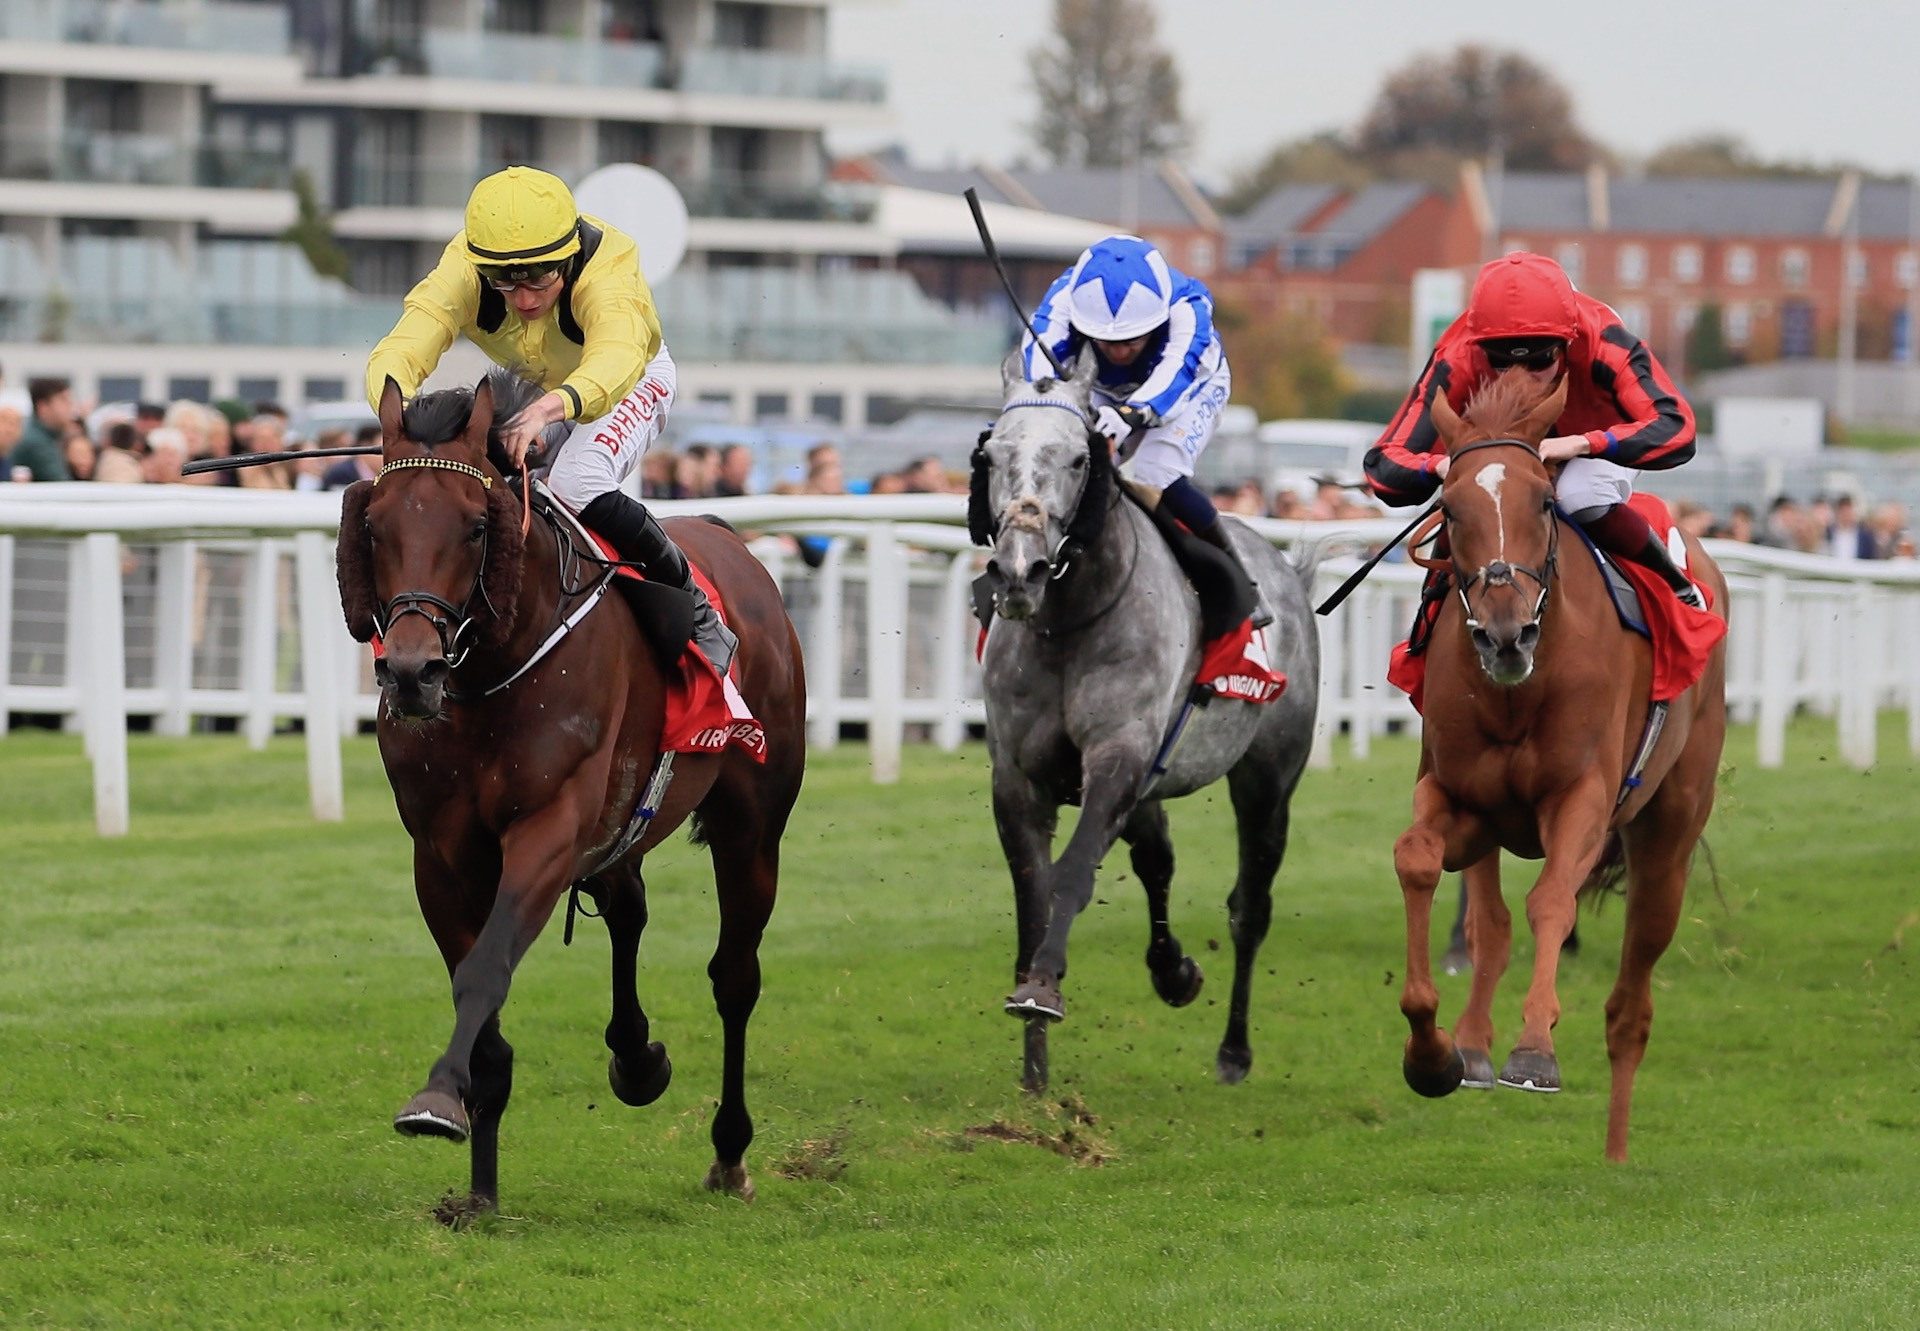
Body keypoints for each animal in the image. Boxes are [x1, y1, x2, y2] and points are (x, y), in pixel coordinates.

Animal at [337, 370, 802, 1213]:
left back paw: (729, 1150)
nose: (413, 672)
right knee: (628, 907)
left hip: (753, 824)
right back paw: (637, 1056)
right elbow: (479, 989)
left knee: (735, 976)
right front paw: (478, 1187)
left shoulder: (548, 827)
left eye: (475, 527)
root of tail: (731, 540)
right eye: (377, 526)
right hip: (625, 816)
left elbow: (487, 968)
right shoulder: (440, 852)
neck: (493, 670)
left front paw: (435, 1100)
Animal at [975, 349, 1320, 1090]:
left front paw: (1042, 990)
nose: (1020, 571)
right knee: (1157, 858)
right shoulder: (1020, 777)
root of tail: (1288, 572)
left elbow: (1072, 873)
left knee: (1250, 906)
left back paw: (1234, 1050)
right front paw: (1034, 1070)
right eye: (993, 455)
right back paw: (1173, 971)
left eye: (1079, 458)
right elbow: (1033, 894)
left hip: (1267, 779)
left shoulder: (1119, 756)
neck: (1071, 618)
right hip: (1154, 785)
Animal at [1390, 368, 1735, 1160]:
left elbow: (1551, 900)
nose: (1506, 633)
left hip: (1668, 836)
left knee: (1631, 1003)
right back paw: (1472, 1046)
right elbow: (1421, 861)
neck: (1520, 689)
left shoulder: (1581, 797)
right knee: (1488, 923)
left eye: (1543, 502)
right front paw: (1433, 1052)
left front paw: (1535, 1051)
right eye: (1449, 508)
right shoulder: (1464, 799)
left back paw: (1615, 1151)